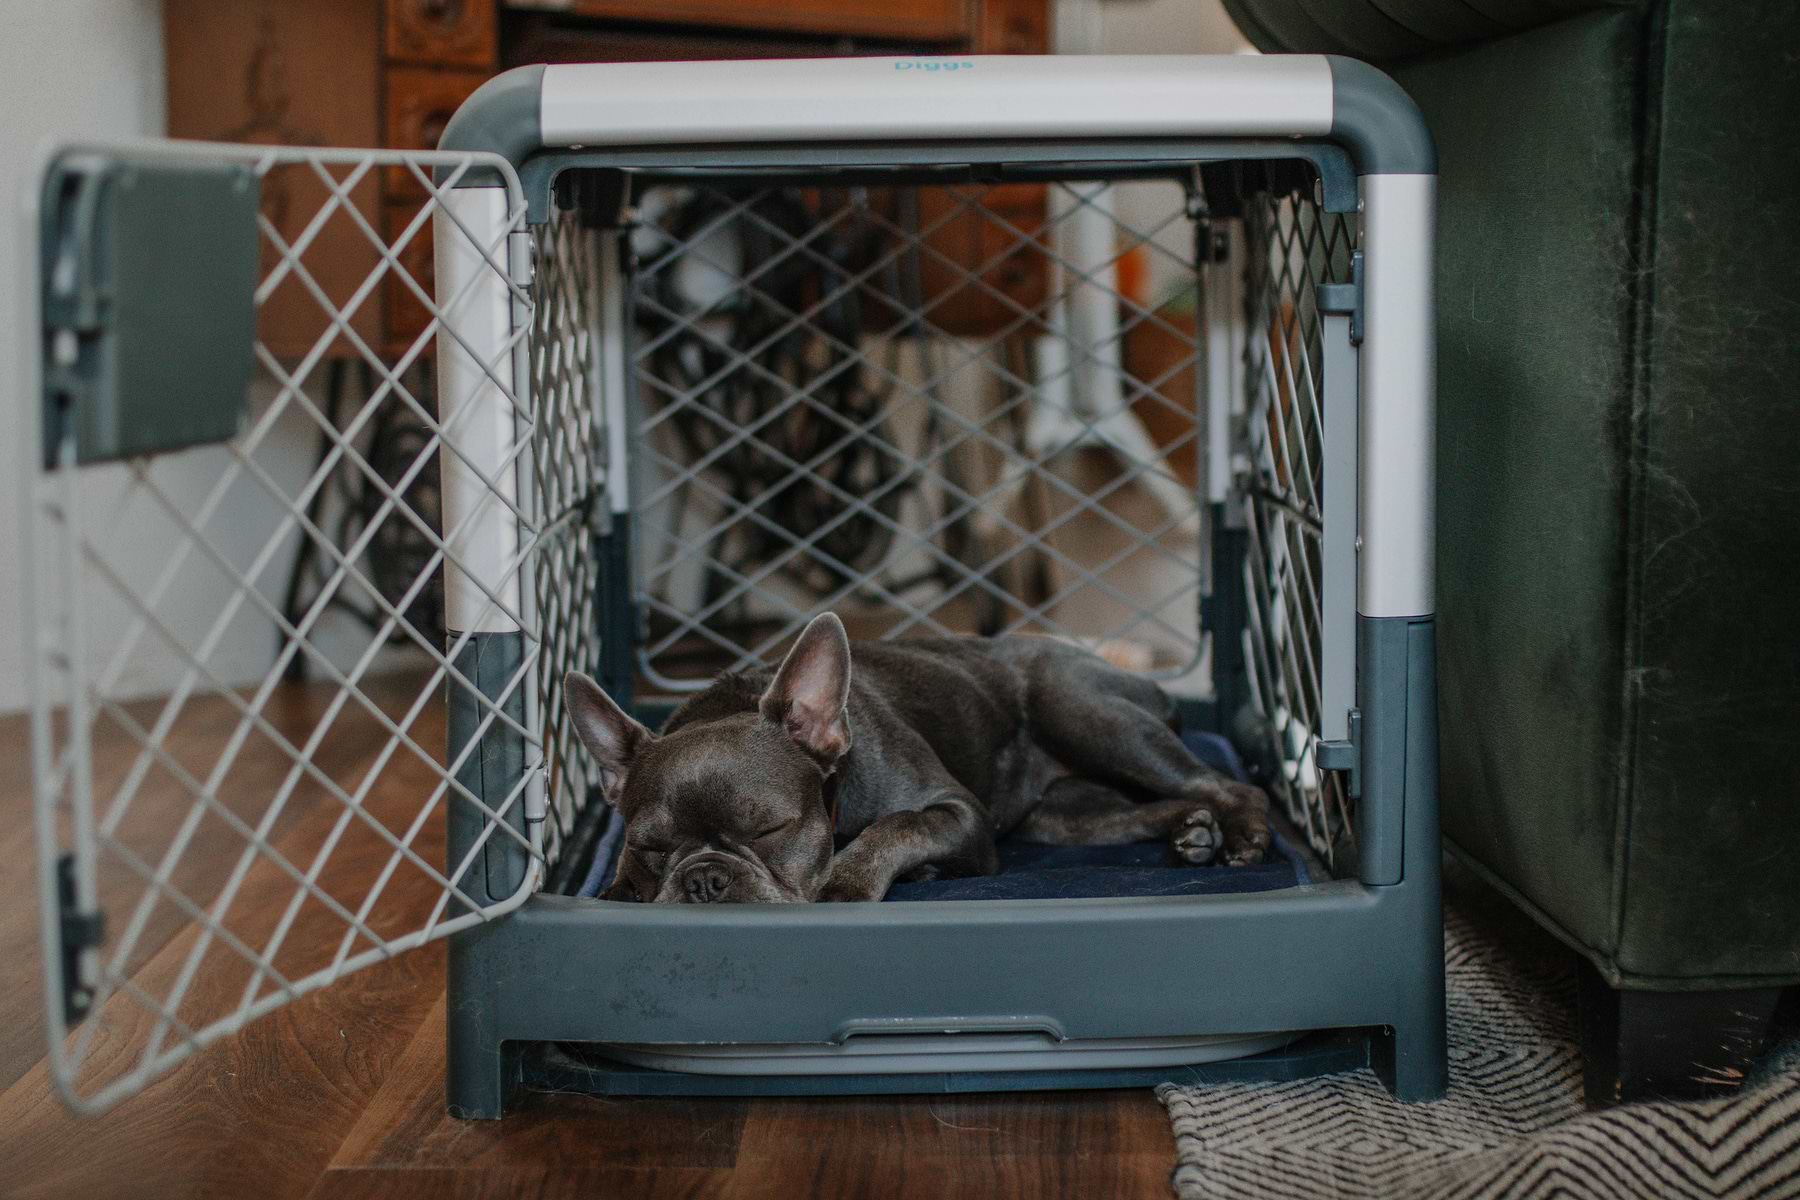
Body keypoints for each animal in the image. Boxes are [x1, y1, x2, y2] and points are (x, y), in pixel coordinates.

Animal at [568, 615, 1274, 906]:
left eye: (770, 830)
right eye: (651, 847)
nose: (704, 881)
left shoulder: (959, 812)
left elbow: (896, 825)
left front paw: (847, 881)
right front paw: (620, 890)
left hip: (1085, 715)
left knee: (1227, 782)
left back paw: (1243, 835)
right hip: (1064, 817)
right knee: (1152, 807)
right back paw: (1192, 831)